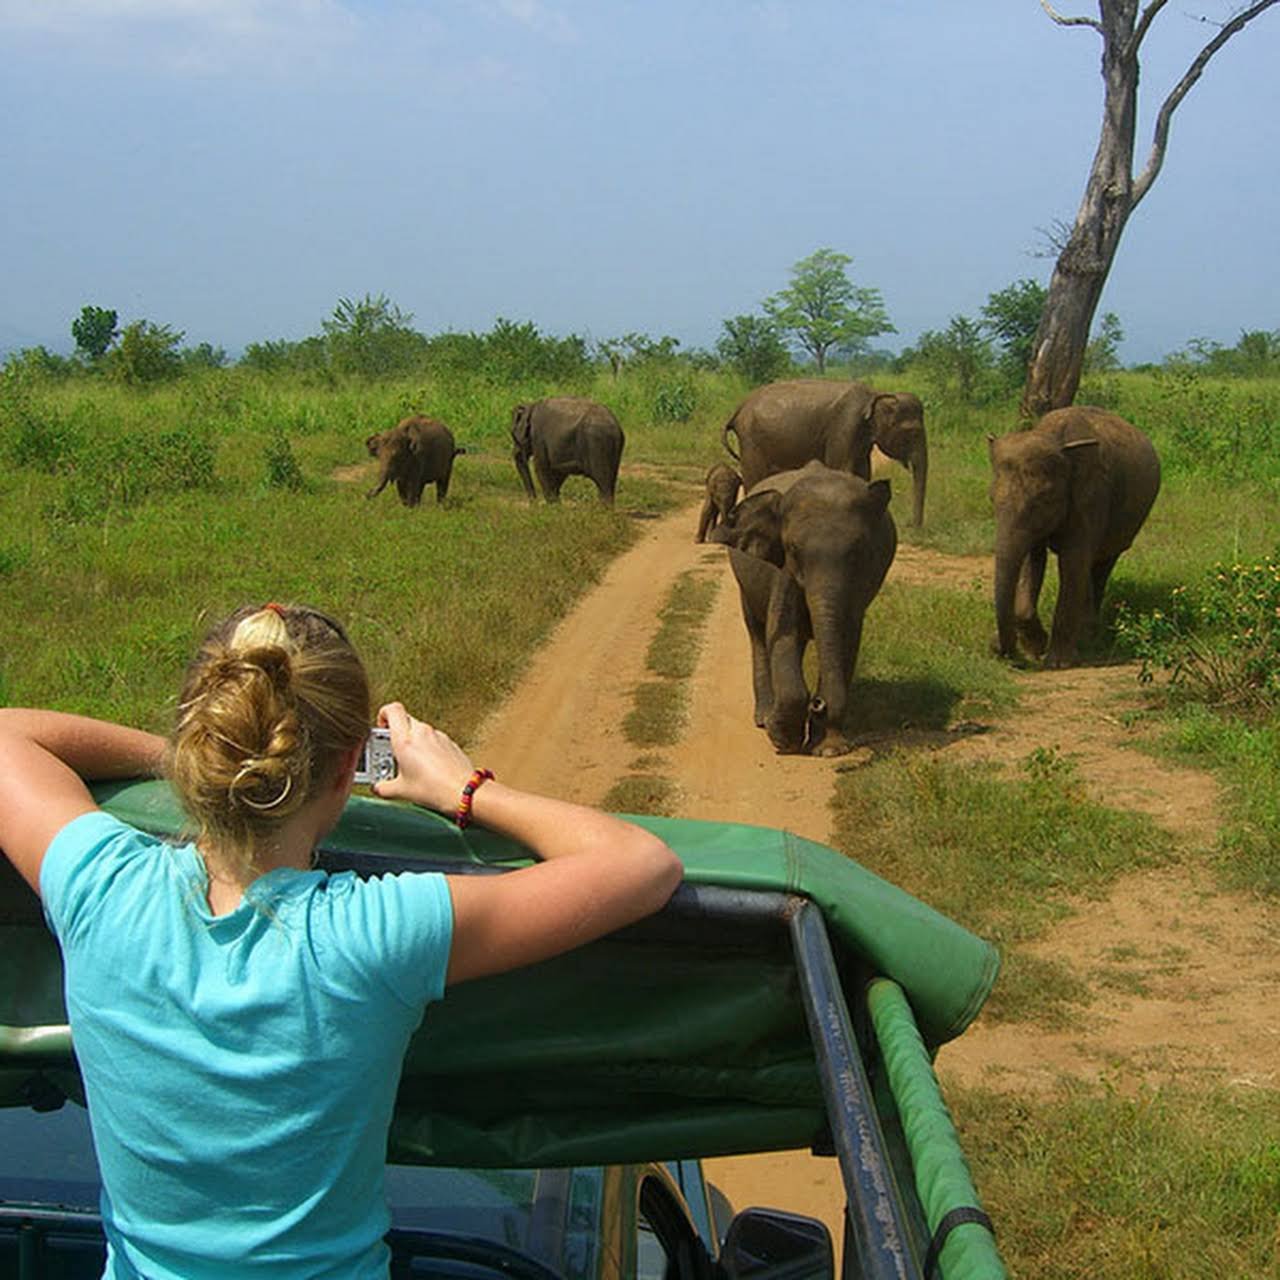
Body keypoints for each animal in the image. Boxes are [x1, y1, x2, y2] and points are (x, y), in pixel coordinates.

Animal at [706, 460, 896, 752]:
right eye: (793, 549)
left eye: (857, 552)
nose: (818, 704)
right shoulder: (782, 571)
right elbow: (784, 631)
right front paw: (783, 739)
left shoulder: (862, 580)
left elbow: (847, 635)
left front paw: (829, 749)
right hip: (744, 583)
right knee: (757, 632)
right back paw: (763, 717)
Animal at [721, 376, 931, 522]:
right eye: (913, 433)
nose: (913, 526)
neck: (876, 394)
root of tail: (739, 408)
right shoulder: (844, 426)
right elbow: (842, 468)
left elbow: (863, 472)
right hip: (751, 441)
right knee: (754, 477)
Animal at [983, 407, 1167, 670]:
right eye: (991, 499)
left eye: (1043, 500)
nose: (997, 649)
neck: (1054, 438)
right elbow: (1033, 559)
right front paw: (1036, 647)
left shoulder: (1091, 498)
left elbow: (1072, 562)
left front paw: (1058, 663)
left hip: (1126, 524)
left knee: (1101, 564)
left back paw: (1088, 637)